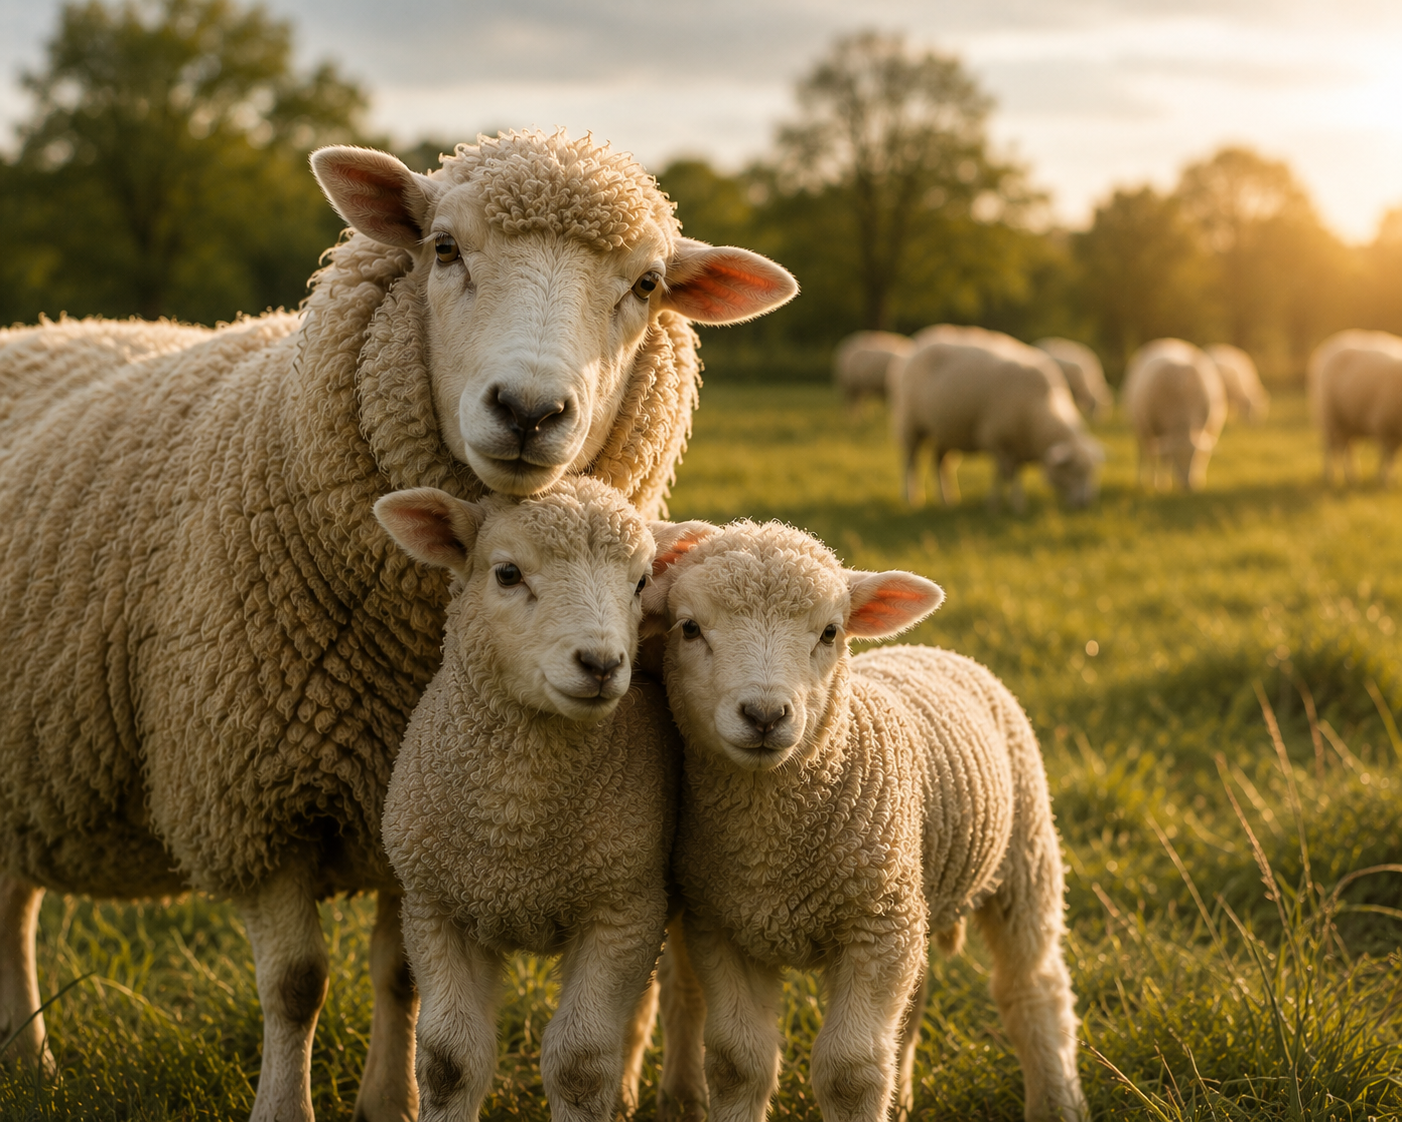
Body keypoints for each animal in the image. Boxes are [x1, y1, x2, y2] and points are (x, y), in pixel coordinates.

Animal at [375, 477, 683, 1122]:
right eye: (508, 573)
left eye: (642, 582)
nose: (601, 664)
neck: (515, 823)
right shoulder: (434, 907)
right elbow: (447, 1062)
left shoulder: (624, 909)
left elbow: (580, 1064)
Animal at [642, 519, 1087, 1122]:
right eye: (689, 628)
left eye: (830, 633)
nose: (765, 715)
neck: (770, 847)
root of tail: (934, 649)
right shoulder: (721, 926)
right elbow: (739, 1065)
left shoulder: (875, 928)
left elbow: (850, 1073)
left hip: (1024, 856)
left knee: (1034, 988)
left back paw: (1058, 1101)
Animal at [891, 326, 1103, 510]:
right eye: (1074, 470)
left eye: (1092, 472)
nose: (1085, 504)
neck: (1039, 409)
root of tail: (919, 341)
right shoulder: (995, 439)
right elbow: (1005, 474)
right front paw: (1007, 505)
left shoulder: (1018, 443)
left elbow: (1010, 474)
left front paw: (1005, 503)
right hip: (909, 422)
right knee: (910, 461)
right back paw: (912, 498)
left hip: (945, 431)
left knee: (940, 463)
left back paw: (948, 499)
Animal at [1122, 338, 1227, 491]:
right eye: (1177, 457)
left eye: (1194, 457)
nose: (1188, 485)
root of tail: (1167, 340)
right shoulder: (1160, 432)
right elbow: (1164, 458)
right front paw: (1162, 484)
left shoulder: (1207, 428)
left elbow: (1204, 455)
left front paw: (1199, 479)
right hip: (1139, 427)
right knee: (1144, 453)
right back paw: (1143, 481)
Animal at [1308, 330, 1402, 486]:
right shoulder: (1382, 426)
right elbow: (1387, 455)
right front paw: (1384, 480)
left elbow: (1392, 456)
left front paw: (1390, 479)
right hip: (1327, 417)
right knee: (1329, 448)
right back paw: (1329, 476)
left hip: (1349, 423)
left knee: (1347, 449)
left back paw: (1352, 477)